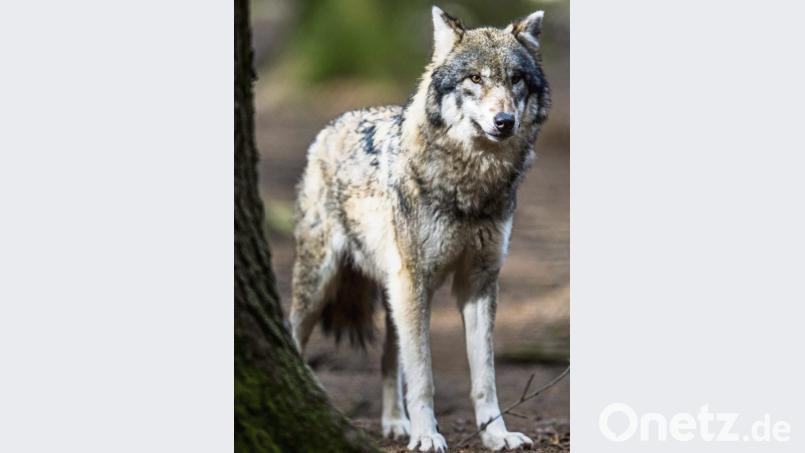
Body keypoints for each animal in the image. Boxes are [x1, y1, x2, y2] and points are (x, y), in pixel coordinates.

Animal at [289, 6, 550, 452]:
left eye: (516, 78)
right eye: (475, 78)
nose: (504, 121)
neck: (470, 186)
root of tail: (335, 123)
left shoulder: (479, 282)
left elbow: (485, 377)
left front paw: (496, 434)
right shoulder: (416, 280)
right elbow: (423, 376)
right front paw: (428, 435)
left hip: (394, 292)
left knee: (388, 360)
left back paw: (396, 423)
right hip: (322, 285)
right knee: (294, 336)